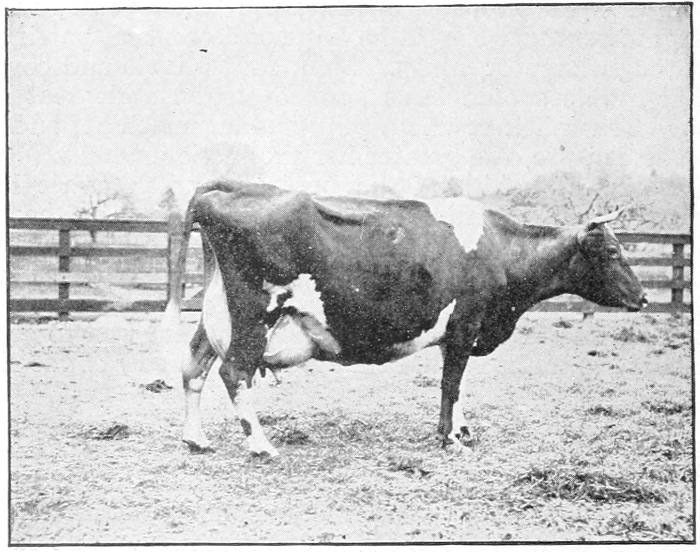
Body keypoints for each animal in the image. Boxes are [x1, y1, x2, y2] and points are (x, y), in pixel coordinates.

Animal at [165, 180, 647, 458]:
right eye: (612, 251)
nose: (642, 298)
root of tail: (233, 187)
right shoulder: (467, 323)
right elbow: (451, 383)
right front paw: (449, 437)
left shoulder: (459, 333)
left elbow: (459, 383)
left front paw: (463, 429)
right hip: (254, 315)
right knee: (234, 372)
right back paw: (261, 446)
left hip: (217, 315)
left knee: (194, 365)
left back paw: (196, 438)